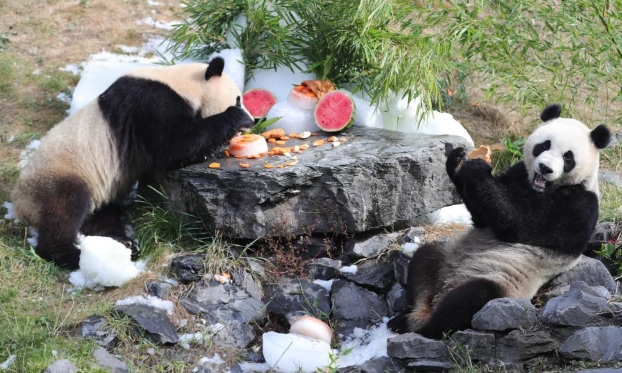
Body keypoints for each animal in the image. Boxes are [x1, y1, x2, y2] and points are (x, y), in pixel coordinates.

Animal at [10, 56, 254, 268]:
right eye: (238, 99)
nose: (252, 121)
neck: (183, 83)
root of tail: (20, 205)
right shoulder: (150, 103)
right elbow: (172, 144)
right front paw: (234, 118)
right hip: (60, 174)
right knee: (64, 210)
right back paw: (71, 255)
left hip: (99, 190)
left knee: (100, 217)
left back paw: (125, 245)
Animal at [390, 103, 616, 338]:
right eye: (544, 145)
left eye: (568, 157)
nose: (545, 168)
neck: (540, 188)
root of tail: (444, 289)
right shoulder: (518, 174)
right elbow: (482, 218)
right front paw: (457, 160)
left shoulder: (577, 207)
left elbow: (518, 222)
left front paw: (477, 168)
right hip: (446, 258)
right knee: (424, 261)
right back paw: (406, 318)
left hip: (501, 282)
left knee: (472, 297)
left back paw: (426, 327)